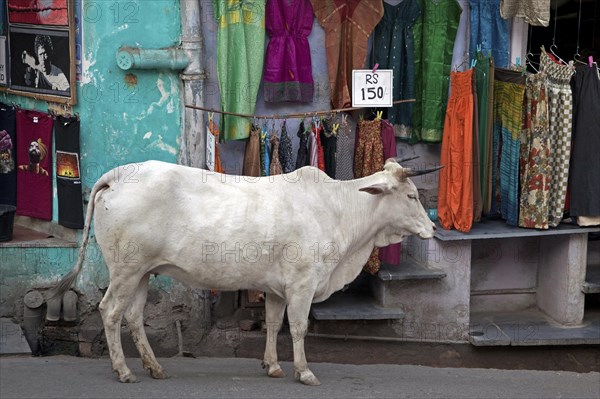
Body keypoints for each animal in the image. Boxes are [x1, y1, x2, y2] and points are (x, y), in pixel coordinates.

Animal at [51, 159, 438, 388]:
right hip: (126, 270)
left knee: (132, 316)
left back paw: (154, 367)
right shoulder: (302, 283)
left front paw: (273, 366)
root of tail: (119, 174)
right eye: (411, 195)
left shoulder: (278, 288)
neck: (339, 209)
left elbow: (273, 325)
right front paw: (304, 371)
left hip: (144, 272)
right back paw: (124, 370)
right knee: (110, 312)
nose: (433, 228)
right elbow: (299, 327)